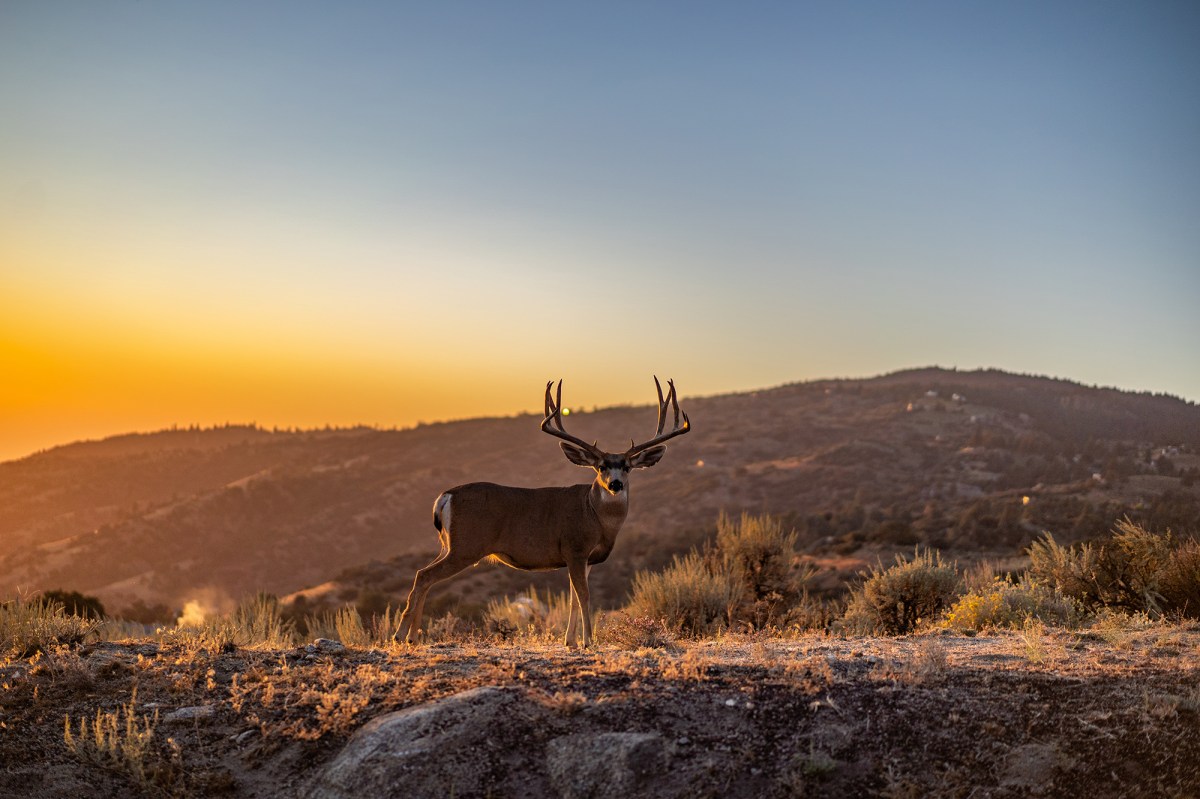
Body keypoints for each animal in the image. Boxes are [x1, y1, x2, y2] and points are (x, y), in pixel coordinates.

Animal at [396, 377, 692, 648]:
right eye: (600, 467)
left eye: (627, 467)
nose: (615, 484)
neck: (595, 517)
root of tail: (446, 496)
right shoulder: (575, 548)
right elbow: (584, 596)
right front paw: (588, 641)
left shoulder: (586, 559)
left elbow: (573, 599)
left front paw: (570, 641)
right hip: (466, 546)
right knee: (424, 575)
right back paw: (401, 635)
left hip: (449, 544)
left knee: (424, 575)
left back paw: (413, 637)